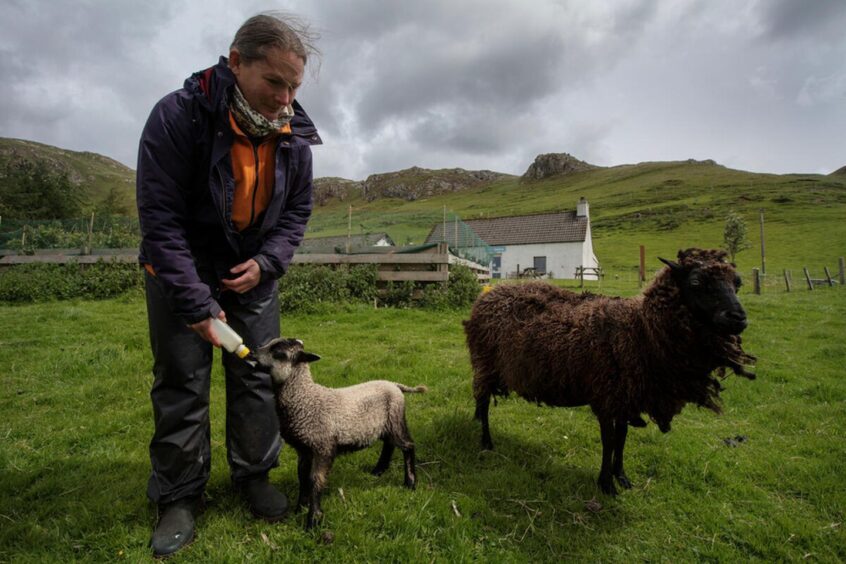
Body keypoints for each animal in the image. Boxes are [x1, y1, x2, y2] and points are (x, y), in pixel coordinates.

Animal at [250, 340, 424, 528]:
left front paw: (313, 519)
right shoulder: (303, 449)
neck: (305, 398)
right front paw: (301, 508)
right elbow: (302, 477)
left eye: (278, 353)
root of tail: (394, 385)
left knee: (408, 445)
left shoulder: (323, 446)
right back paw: (378, 470)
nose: (252, 353)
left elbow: (315, 480)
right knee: (389, 444)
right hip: (383, 426)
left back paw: (410, 482)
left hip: (396, 420)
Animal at [468, 249, 760, 496]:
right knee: (484, 402)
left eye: (737, 283)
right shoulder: (606, 395)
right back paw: (486, 441)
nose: (738, 318)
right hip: (485, 363)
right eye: (697, 282)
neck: (640, 329)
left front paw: (621, 476)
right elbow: (608, 441)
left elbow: (622, 439)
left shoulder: (624, 397)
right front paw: (606, 483)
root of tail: (487, 294)